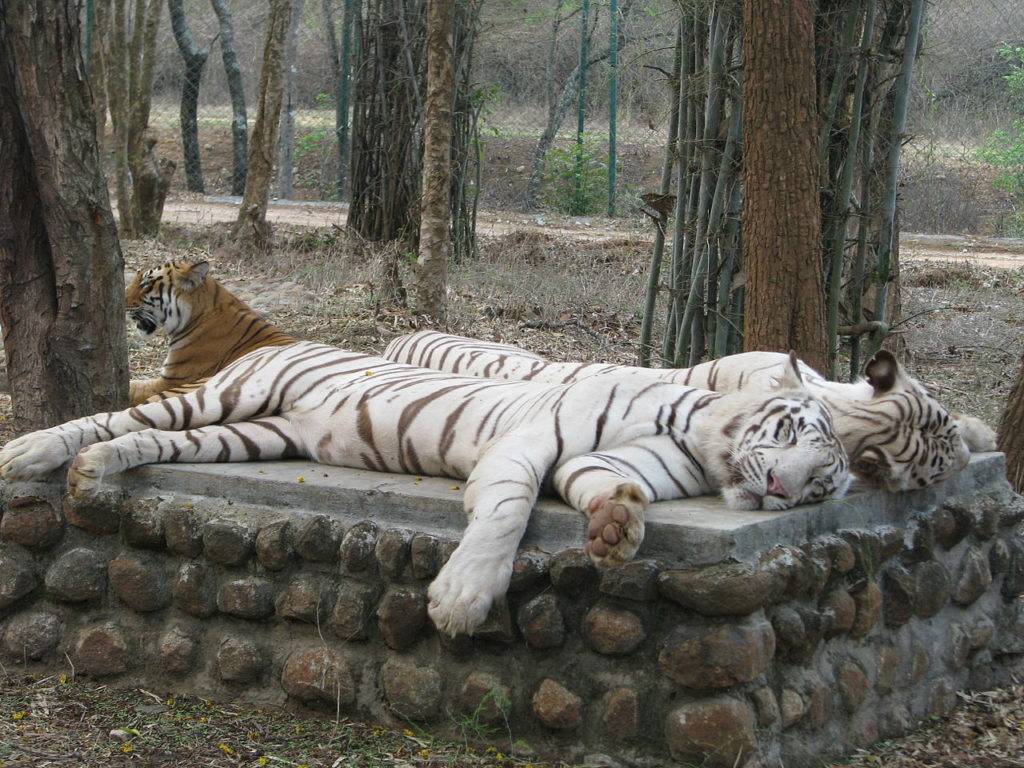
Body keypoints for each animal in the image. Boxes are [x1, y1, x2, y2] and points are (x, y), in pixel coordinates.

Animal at [0, 342, 847, 638]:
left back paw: (93, 472)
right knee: (113, 415)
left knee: (142, 441)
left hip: (252, 436)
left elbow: (610, 490)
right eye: (791, 434)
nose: (779, 492)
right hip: (223, 398)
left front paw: (616, 532)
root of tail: (277, 340)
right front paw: (461, 601)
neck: (703, 447)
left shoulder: (604, 465)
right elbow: (505, 517)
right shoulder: (526, 447)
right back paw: (31, 451)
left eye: (819, 489)